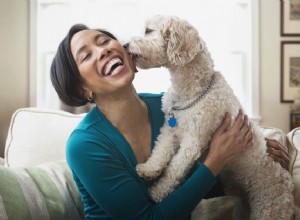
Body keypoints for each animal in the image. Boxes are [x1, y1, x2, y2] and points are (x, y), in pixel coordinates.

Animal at [127, 14, 298, 219]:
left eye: (148, 31)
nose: (125, 45)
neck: (192, 90)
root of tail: (288, 182)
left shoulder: (193, 141)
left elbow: (173, 170)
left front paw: (156, 192)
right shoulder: (170, 130)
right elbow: (160, 152)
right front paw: (149, 169)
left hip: (268, 208)